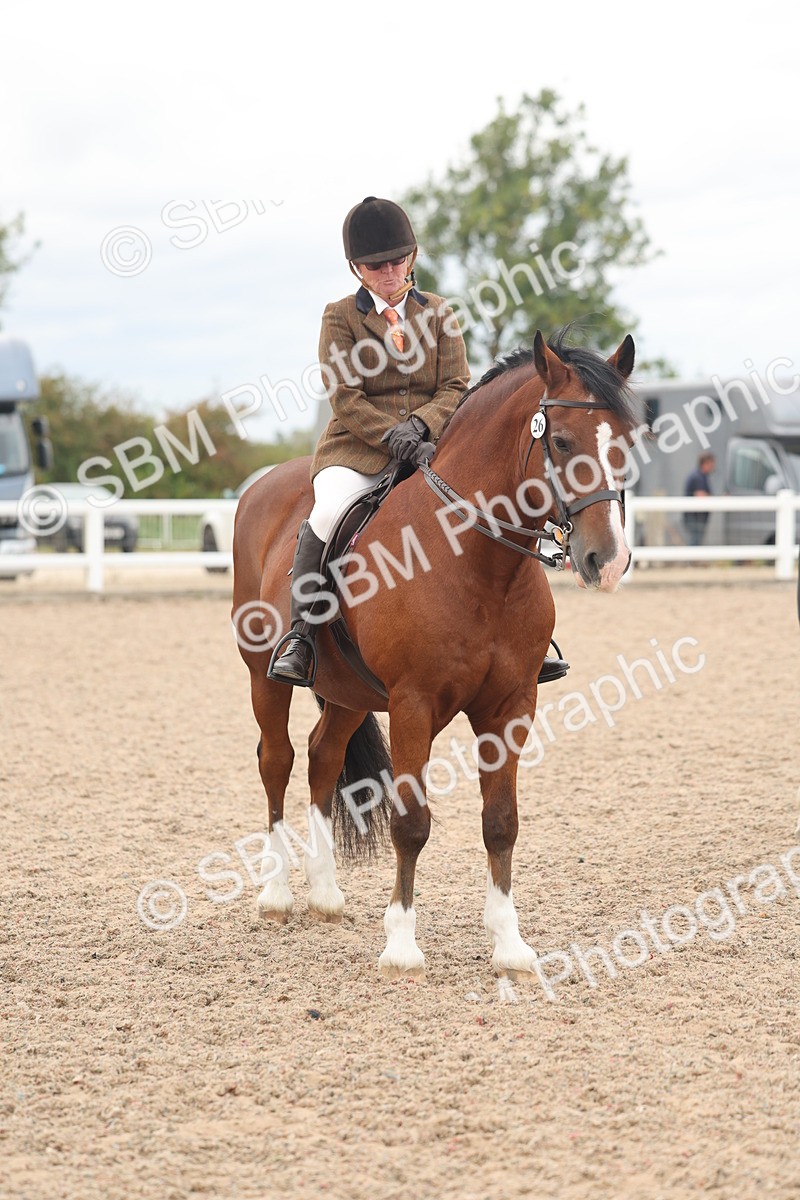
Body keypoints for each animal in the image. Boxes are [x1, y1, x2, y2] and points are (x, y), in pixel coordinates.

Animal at [231, 328, 642, 979]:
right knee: (277, 761)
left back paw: (325, 893)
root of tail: (264, 485)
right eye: (560, 441)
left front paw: (510, 946)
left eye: (625, 441)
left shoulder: (510, 706)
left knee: (322, 757)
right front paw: (401, 946)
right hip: (263, 676)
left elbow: (501, 823)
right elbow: (411, 822)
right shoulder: (413, 705)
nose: (609, 561)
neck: (475, 560)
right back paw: (277, 894)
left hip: (348, 692)